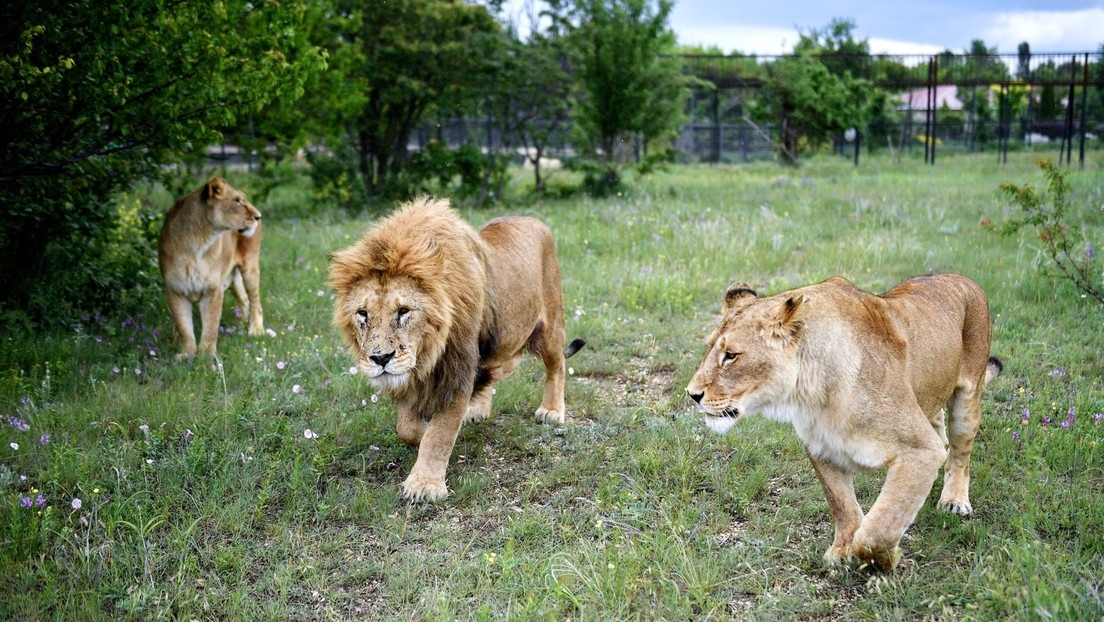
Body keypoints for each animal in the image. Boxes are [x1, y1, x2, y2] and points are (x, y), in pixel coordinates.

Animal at [157, 177, 262, 357]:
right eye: (237, 201)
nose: (258, 216)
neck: (198, 242)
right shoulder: (175, 290)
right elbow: (184, 328)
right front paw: (187, 355)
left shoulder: (213, 289)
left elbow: (211, 326)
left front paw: (206, 356)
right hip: (231, 277)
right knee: (244, 299)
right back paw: (240, 324)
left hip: (250, 267)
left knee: (256, 302)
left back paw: (256, 331)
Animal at [326, 196, 587, 503]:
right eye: (362, 314)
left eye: (403, 311)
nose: (380, 358)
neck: (428, 352)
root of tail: (532, 219)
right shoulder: (413, 376)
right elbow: (406, 427)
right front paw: (423, 432)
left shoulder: (457, 368)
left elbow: (441, 432)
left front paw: (424, 485)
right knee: (495, 368)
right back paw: (477, 409)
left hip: (549, 326)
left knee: (556, 365)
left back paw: (552, 411)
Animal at [684, 275, 998, 570]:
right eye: (709, 348)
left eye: (731, 356)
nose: (692, 394)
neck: (811, 392)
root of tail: (962, 279)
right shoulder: (821, 448)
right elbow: (842, 504)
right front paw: (842, 551)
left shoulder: (920, 450)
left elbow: (880, 527)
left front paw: (883, 560)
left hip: (967, 399)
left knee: (959, 454)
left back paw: (954, 500)